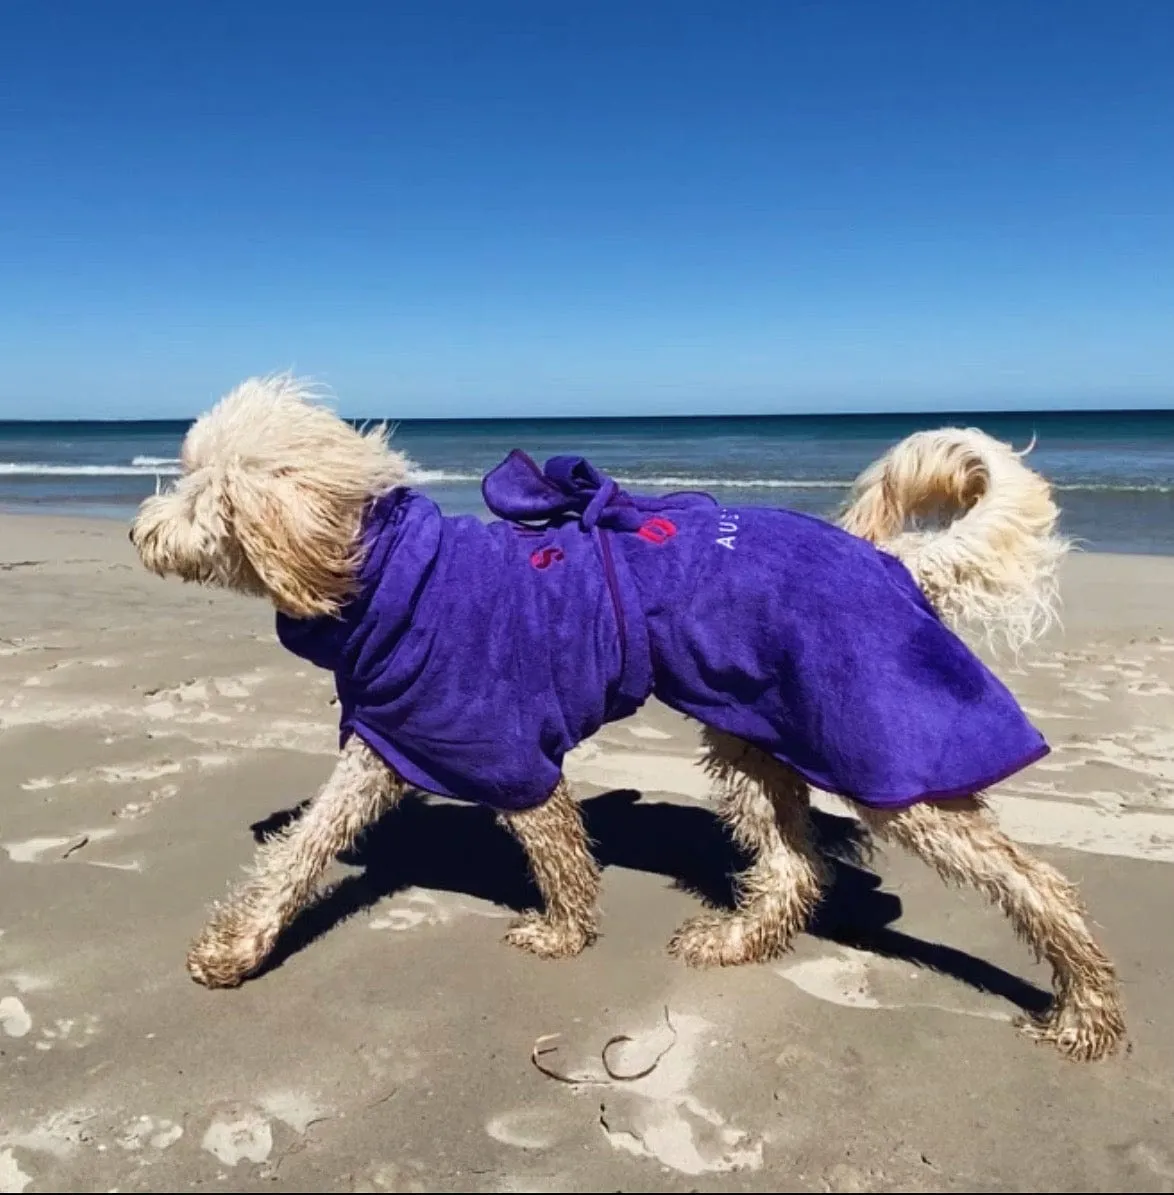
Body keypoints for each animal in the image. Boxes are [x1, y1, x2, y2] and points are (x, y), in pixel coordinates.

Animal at [130, 368, 1128, 1061]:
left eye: (198, 492)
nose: (138, 531)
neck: (379, 574)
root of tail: (889, 563)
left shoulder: (497, 747)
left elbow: (557, 852)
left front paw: (562, 932)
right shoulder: (395, 737)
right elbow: (299, 850)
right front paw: (239, 945)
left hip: (883, 751)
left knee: (1038, 883)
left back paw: (1084, 1010)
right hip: (750, 737)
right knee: (795, 866)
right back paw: (738, 939)